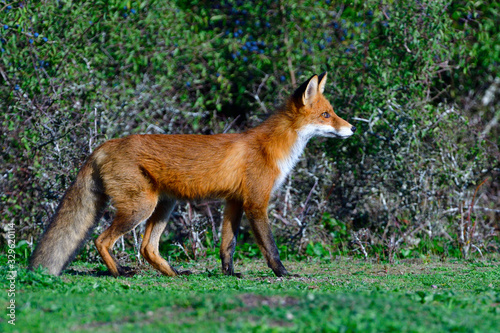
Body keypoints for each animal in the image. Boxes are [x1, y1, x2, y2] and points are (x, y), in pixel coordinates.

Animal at [29, 71, 356, 276]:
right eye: (326, 115)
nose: (352, 128)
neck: (270, 148)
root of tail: (104, 144)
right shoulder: (255, 203)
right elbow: (270, 248)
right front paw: (284, 273)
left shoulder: (234, 202)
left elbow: (227, 245)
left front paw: (229, 274)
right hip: (141, 207)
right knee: (101, 240)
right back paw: (120, 272)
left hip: (164, 205)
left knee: (147, 248)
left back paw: (174, 273)